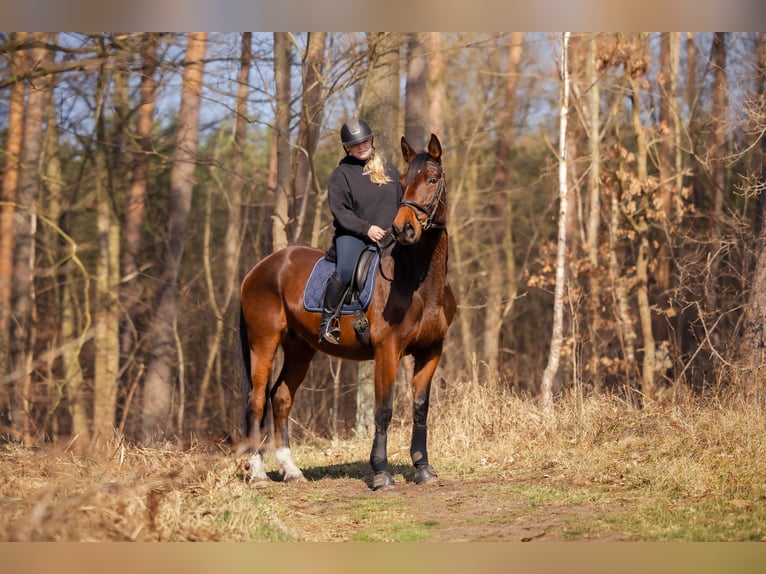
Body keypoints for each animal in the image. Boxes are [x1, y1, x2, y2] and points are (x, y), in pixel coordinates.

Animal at [238, 133, 456, 490]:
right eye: (404, 182)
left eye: (432, 180)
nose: (404, 229)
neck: (418, 282)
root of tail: (258, 269)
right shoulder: (387, 351)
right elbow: (384, 409)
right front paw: (381, 473)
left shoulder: (431, 350)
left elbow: (420, 408)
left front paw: (423, 468)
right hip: (264, 342)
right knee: (256, 399)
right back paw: (258, 474)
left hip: (300, 347)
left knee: (281, 397)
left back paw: (291, 470)